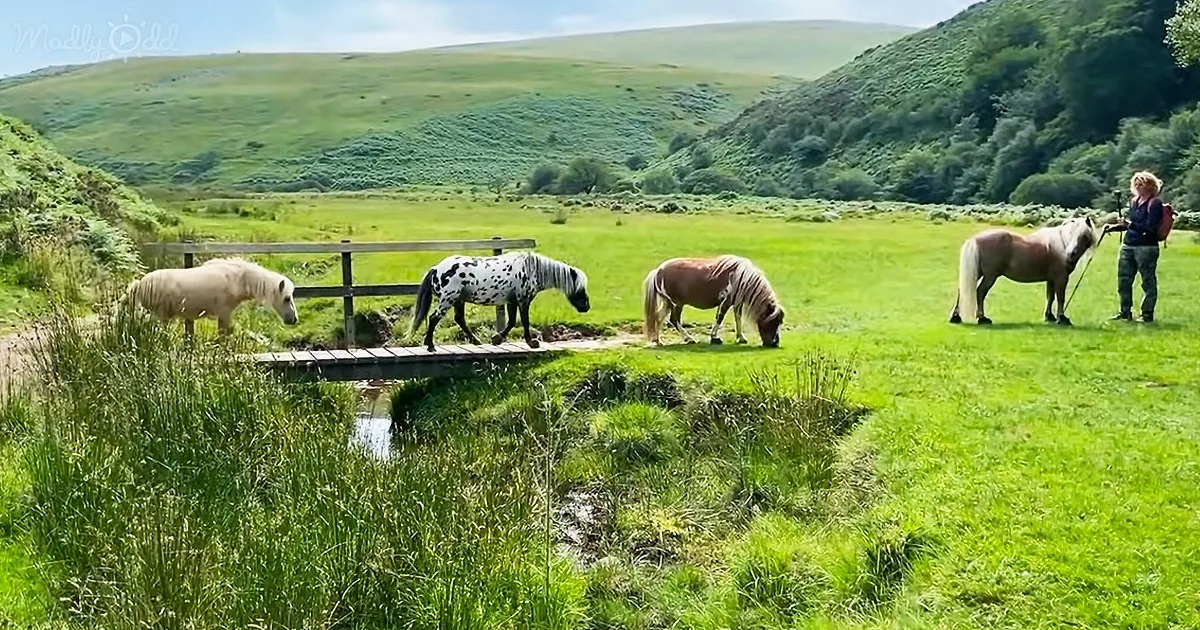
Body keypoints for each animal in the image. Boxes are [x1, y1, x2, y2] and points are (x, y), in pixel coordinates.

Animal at [123, 257, 299, 335]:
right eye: (286, 298)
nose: (294, 320)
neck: (237, 279)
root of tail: (140, 284)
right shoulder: (224, 314)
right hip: (158, 316)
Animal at [409, 251, 590, 352]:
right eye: (580, 287)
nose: (586, 306)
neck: (531, 269)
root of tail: (436, 269)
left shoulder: (512, 301)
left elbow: (511, 321)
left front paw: (497, 338)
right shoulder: (523, 299)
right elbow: (524, 321)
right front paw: (531, 342)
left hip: (458, 300)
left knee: (459, 319)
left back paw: (475, 341)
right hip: (449, 299)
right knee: (434, 318)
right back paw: (431, 345)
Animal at [642, 255, 785, 347]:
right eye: (773, 322)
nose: (775, 343)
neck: (740, 277)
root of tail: (658, 271)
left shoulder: (736, 302)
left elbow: (738, 318)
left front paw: (740, 338)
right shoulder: (726, 301)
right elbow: (720, 317)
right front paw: (714, 337)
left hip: (668, 303)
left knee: (658, 318)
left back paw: (658, 341)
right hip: (677, 304)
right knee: (674, 319)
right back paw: (689, 339)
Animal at [950, 216, 1099, 326]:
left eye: (1084, 236)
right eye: (1071, 233)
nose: (1070, 254)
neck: (1061, 246)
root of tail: (975, 239)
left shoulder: (1051, 279)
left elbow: (1050, 297)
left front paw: (1049, 317)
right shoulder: (1061, 278)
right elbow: (1060, 298)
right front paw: (1062, 318)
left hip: (978, 272)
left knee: (962, 290)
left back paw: (956, 317)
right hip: (990, 276)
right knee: (980, 292)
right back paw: (982, 318)